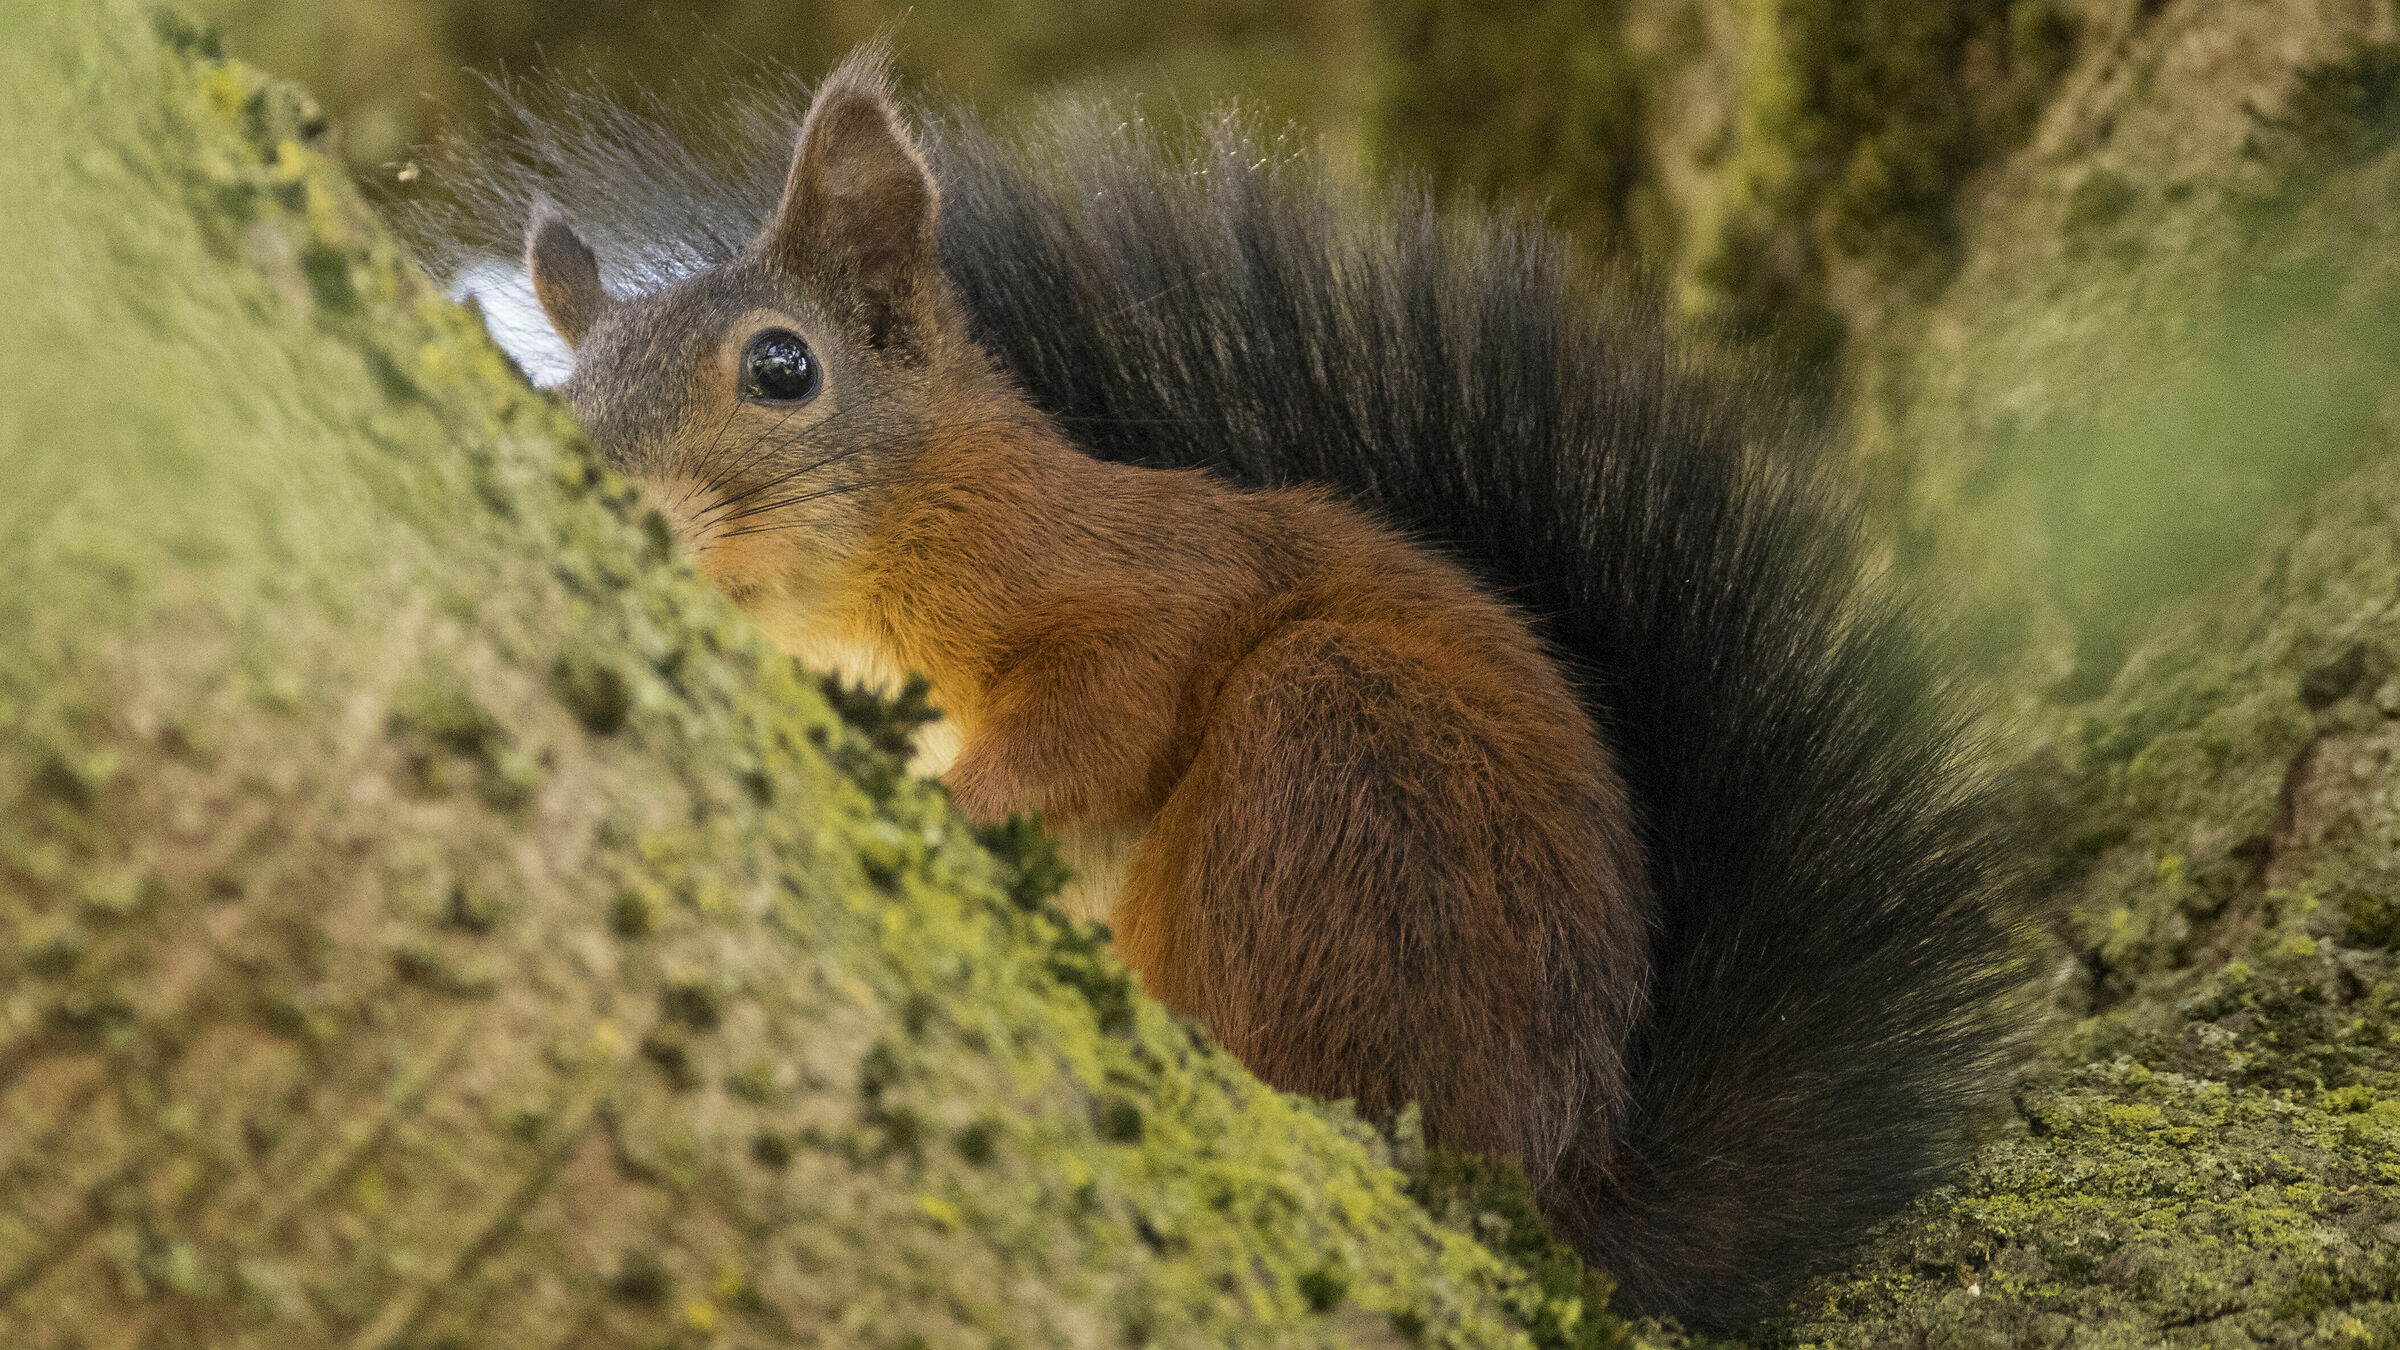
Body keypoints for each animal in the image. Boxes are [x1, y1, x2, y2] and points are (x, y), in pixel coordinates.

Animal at [437, 47, 2024, 1328]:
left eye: (782, 366)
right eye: (562, 396)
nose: (604, 486)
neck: (865, 587)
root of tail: (1554, 1176)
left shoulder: (1127, 583)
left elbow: (1110, 708)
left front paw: (958, 796)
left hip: (1326, 759)